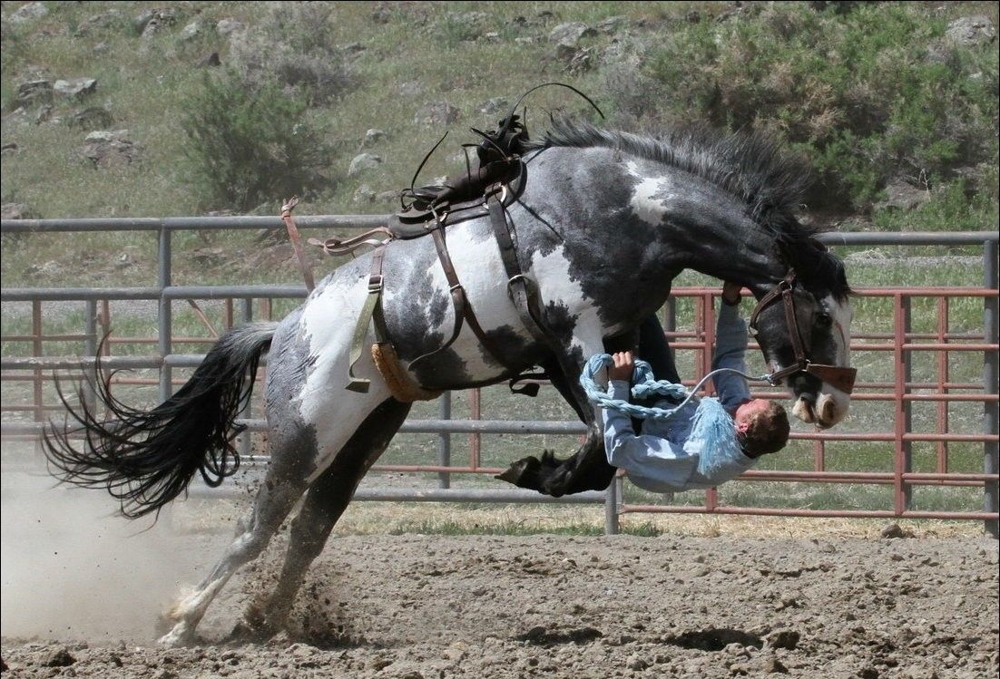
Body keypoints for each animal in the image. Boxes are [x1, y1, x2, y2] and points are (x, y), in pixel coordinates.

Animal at [43, 118, 856, 648]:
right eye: (820, 312)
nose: (834, 398)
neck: (625, 209)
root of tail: (287, 328)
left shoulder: (624, 333)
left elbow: (609, 441)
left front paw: (541, 468)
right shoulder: (577, 338)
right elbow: (604, 441)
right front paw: (537, 467)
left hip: (370, 427)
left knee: (310, 525)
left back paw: (264, 622)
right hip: (307, 428)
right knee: (262, 519)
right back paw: (182, 622)